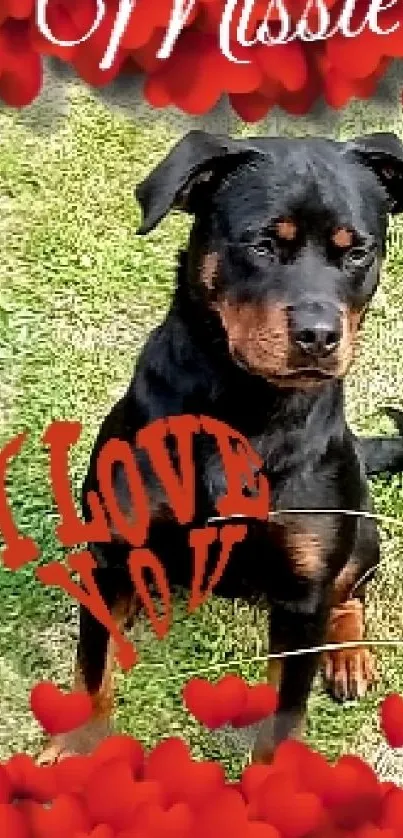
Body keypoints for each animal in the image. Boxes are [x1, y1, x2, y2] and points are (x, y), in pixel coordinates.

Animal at [40, 131, 403, 768]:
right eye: (262, 244)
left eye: (357, 252)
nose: (318, 335)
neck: (245, 407)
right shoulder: (111, 545)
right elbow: (93, 668)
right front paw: (75, 746)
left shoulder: (301, 598)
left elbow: (285, 713)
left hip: (362, 533)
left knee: (350, 593)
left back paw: (349, 654)